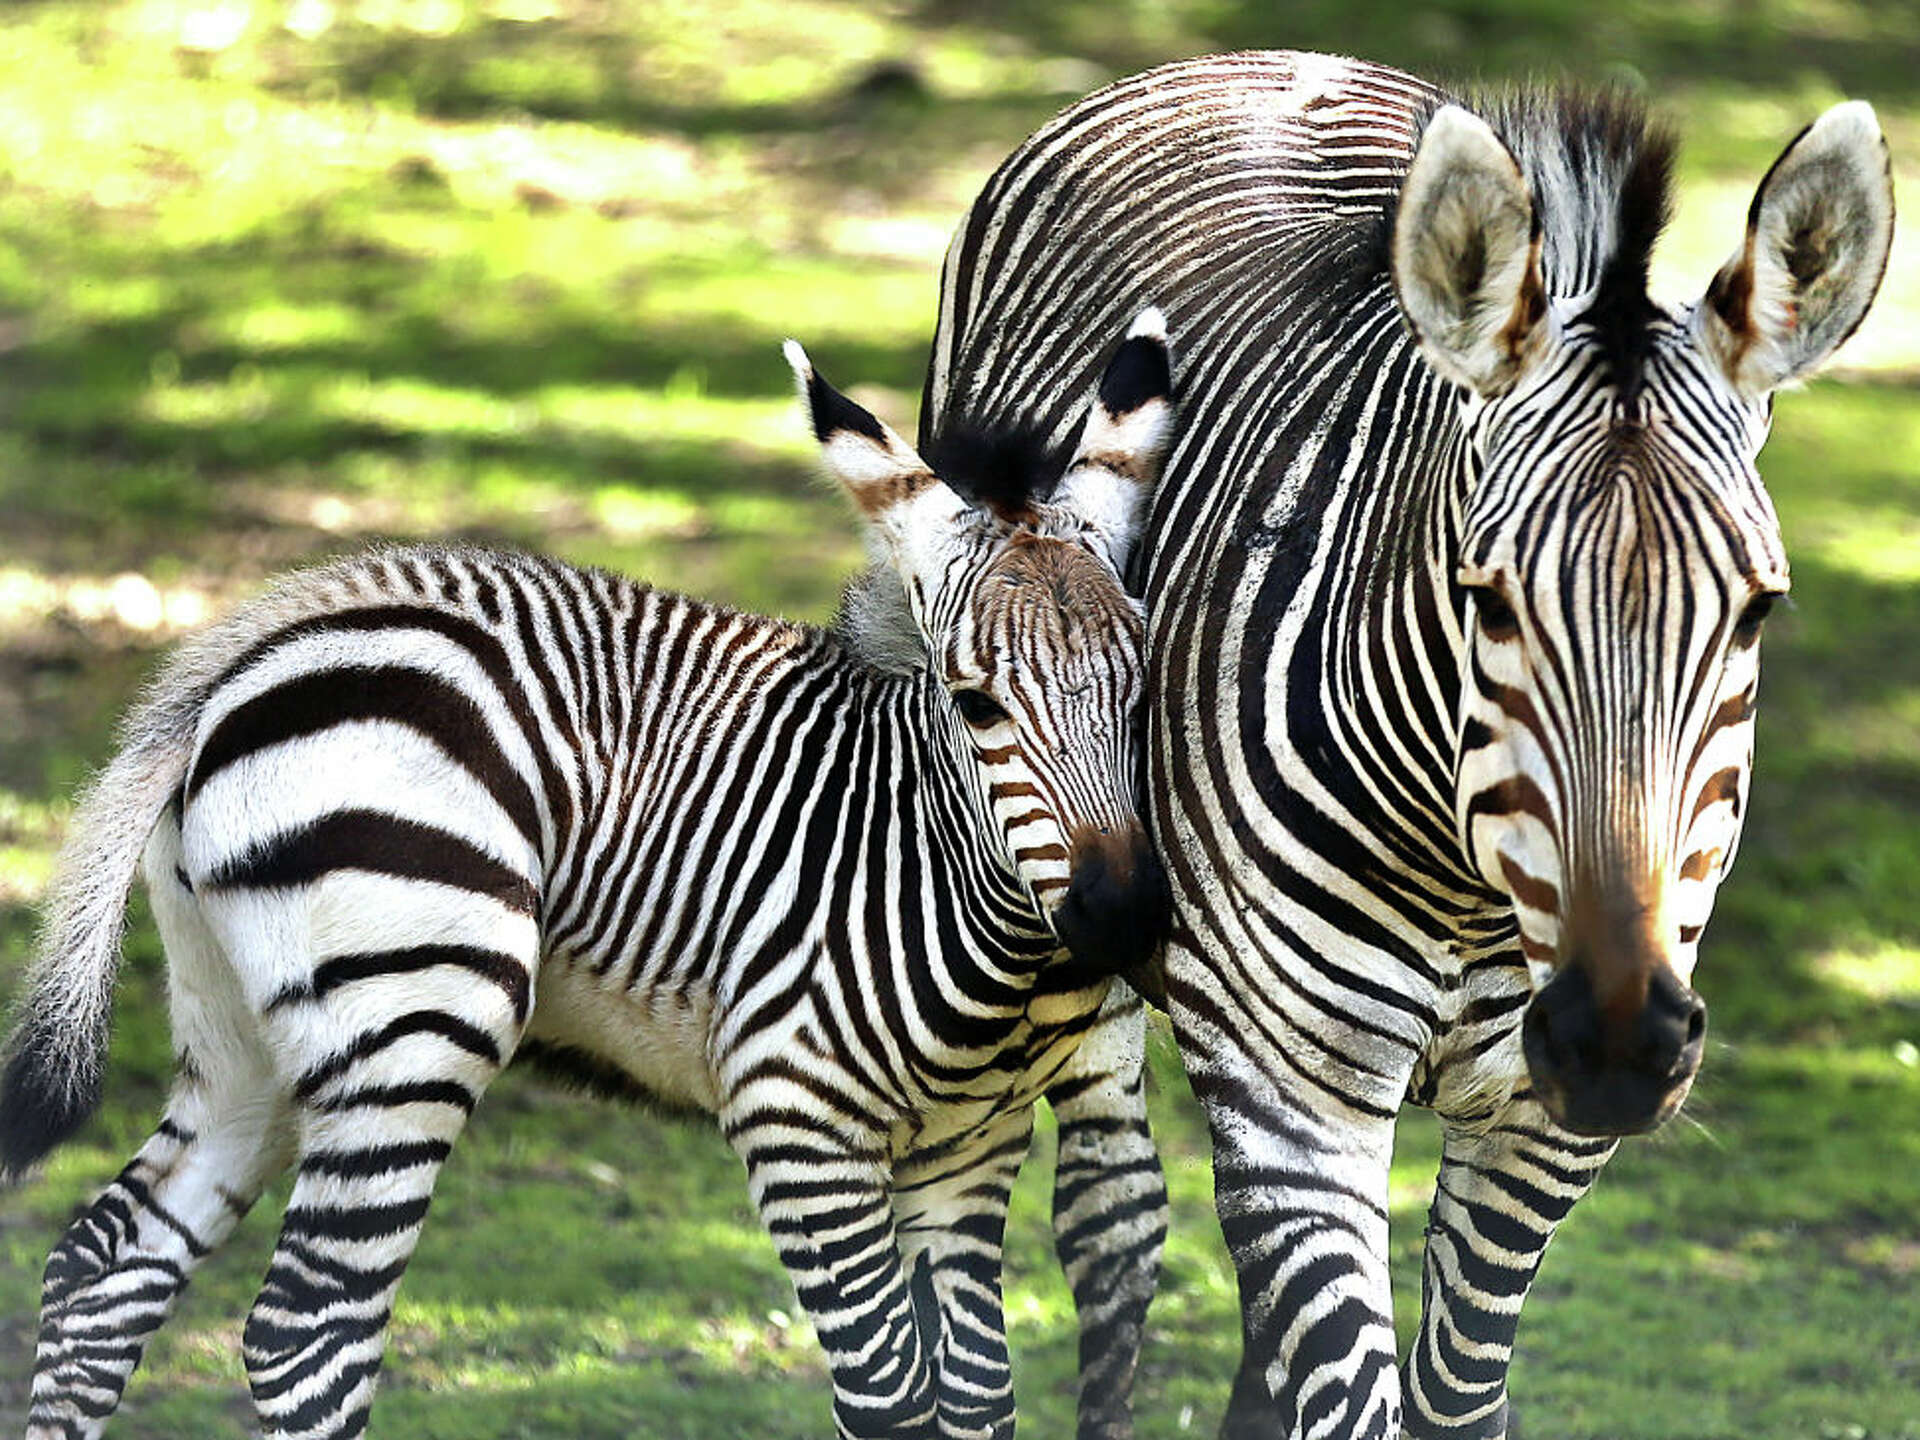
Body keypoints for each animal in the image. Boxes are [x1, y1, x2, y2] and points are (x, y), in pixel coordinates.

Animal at [0, 312, 1180, 1440]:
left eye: (1144, 689)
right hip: (416, 1018)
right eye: (977, 704)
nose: (1125, 917)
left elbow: (977, 1398)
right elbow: (893, 1395)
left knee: (105, 1267)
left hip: (242, 1032)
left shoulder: (968, 1150)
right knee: (307, 1331)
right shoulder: (795, 1120)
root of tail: (242, 661)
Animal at [923, 52, 1894, 1440]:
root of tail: (1256, 63)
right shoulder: (1289, 1101)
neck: (1468, 881)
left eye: (1758, 612)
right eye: (1489, 602)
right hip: (1067, 890)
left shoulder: (1539, 1139)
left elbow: (1450, 1391)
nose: (1615, 1043)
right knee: (1111, 1220)